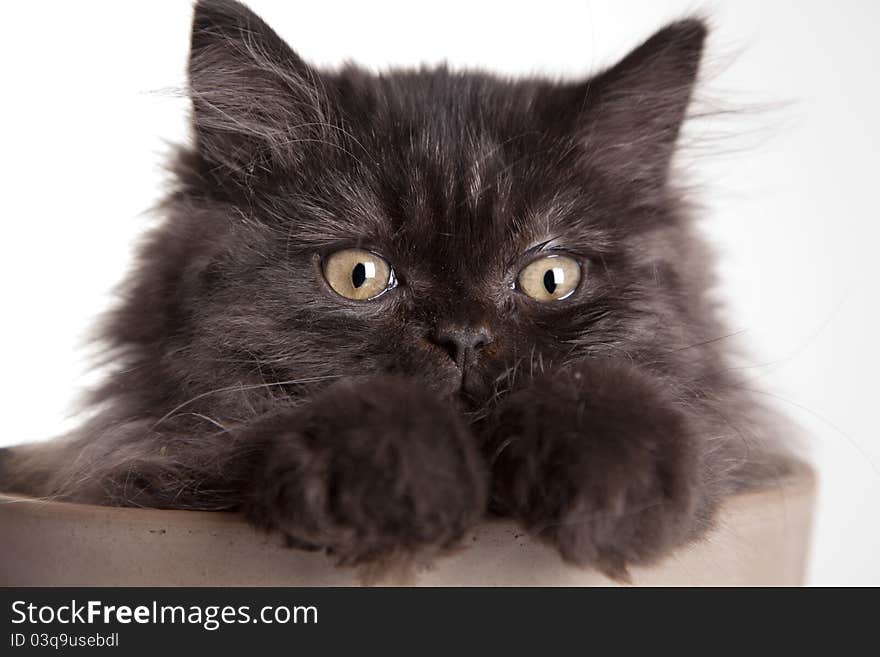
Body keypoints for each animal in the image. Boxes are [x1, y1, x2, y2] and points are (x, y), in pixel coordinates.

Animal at [0, 0, 788, 576]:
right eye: (358, 274)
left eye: (550, 277)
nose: (464, 337)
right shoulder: (148, 464)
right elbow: (289, 422)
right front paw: (402, 487)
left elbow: (614, 394)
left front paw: (619, 486)